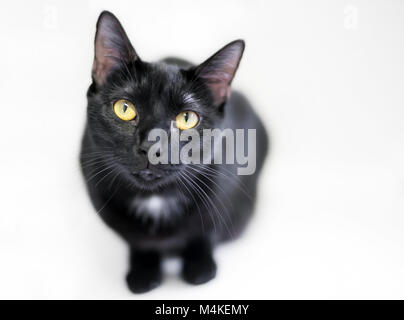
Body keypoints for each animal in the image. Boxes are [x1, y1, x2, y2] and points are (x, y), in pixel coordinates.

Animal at [80, 11, 268, 292]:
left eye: (187, 118)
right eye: (124, 109)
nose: (151, 146)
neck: (156, 200)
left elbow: (205, 233)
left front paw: (200, 267)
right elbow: (138, 241)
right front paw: (143, 271)